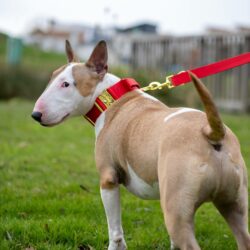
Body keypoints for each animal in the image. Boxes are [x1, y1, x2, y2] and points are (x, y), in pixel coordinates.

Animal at [31, 40, 250, 249]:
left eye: (66, 84)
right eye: (52, 78)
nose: (36, 115)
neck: (112, 100)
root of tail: (211, 132)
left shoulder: (108, 179)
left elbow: (115, 232)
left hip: (177, 208)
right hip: (233, 205)